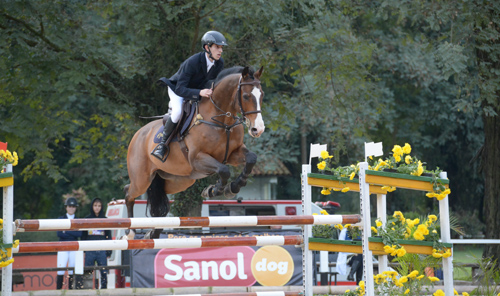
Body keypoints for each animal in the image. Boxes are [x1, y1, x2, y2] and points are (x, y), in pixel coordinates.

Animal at [124, 66, 266, 239]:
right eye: (245, 96)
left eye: (262, 95)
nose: (258, 129)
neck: (222, 121)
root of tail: (138, 134)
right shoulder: (197, 159)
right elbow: (224, 170)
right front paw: (214, 190)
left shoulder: (233, 153)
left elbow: (251, 159)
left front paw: (233, 187)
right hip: (142, 179)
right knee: (128, 193)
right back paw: (130, 233)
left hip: (177, 181)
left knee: (159, 201)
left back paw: (153, 233)